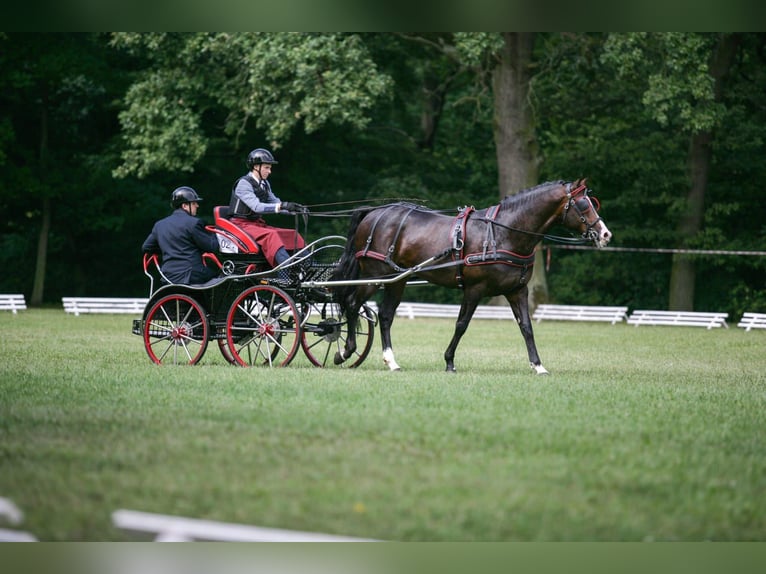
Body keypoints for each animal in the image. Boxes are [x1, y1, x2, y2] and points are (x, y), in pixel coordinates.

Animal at [332, 181, 616, 378]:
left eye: (593, 203)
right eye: (583, 205)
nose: (605, 235)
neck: (503, 233)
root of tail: (375, 212)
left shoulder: (518, 291)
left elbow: (526, 327)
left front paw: (538, 366)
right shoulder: (474, 289)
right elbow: (461, 324)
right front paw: (449, 361)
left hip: (397, 280)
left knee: (385, 315)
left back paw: (391, 361)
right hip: (376, 276)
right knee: (353, 302)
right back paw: (345, 351)